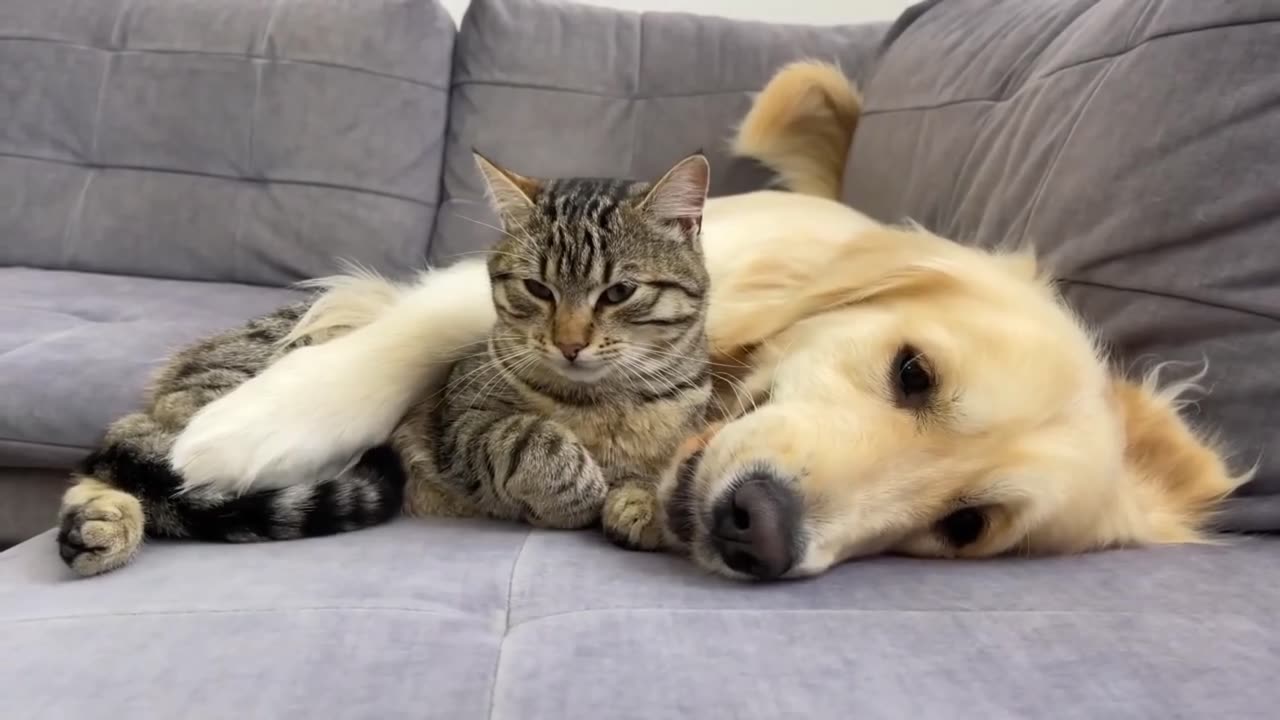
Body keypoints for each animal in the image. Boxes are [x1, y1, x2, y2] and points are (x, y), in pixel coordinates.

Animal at [55, 148, 716, 573]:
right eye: (538, 289)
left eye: (618, 293)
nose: (570, 343)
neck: (606, 403)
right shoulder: (462, 424)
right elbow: (531, 439)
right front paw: (578, 485)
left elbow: (658, 470)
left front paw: (638, 502)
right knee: (135, 455)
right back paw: (103, 522)